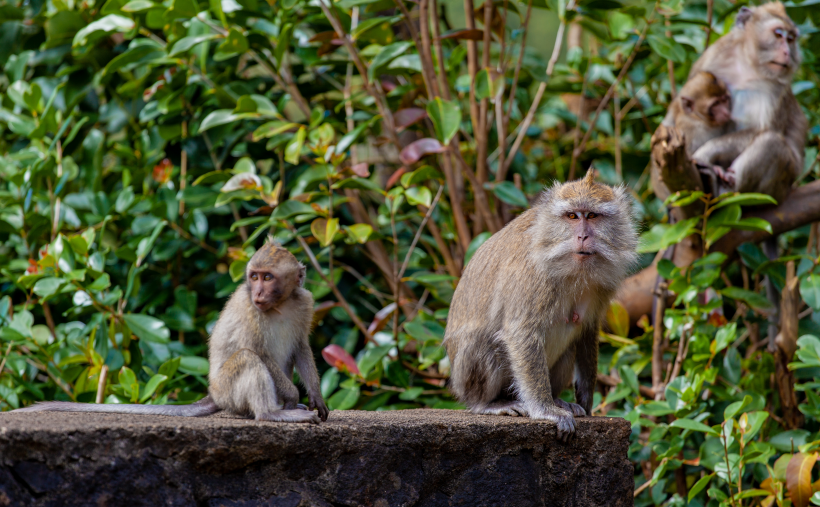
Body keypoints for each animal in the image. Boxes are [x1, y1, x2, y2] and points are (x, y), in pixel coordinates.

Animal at [14, 238, 328, 424]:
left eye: (268, 277)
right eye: (254, 276)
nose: (259, 292)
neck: (278, 305)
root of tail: (213, 395)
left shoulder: (304, 302)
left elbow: (301, 346)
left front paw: (316, 397)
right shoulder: (250, 309)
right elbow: (258, 351)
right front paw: (293, 396)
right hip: (228, 392)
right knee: (246, 358)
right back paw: (272, 414)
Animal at [442, 171, 640, 440]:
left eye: (592, 216)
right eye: (572, 216)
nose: (582, 236)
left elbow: (587, 332)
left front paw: (586, 402)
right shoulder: (532, 275)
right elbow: (521, 332)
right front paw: (546, 411)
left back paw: (557, 399)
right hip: (465, 377)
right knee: (483, 341)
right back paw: (488, 404)